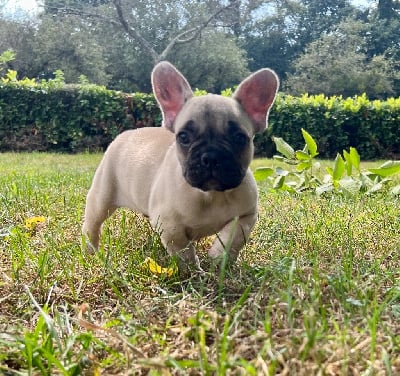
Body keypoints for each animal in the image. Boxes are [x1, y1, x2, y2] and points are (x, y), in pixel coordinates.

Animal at [82, 61, 278, 268]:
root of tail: (125, 134)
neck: (211, 195)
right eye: (183, 137)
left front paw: (218, 258)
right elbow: (182, 249)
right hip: (102, 196)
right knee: (92, 224)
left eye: (239, 138)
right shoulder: (169, 224)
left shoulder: (246, 216)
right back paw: (91, 251)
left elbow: (233, 237)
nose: (211, 156)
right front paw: (192, 269)